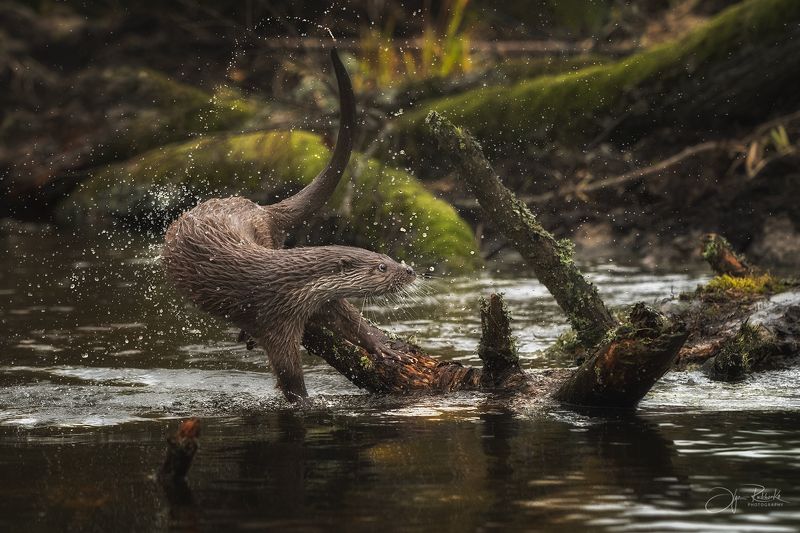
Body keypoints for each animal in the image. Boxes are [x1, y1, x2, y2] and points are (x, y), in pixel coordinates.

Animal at [162, 50, 416, 402]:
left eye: (389, 258)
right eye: (381, 267)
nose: (409, 270)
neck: (289, 285)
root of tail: (260, 209)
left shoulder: (319, 301)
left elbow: (350, 319)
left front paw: (381, 345)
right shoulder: (274, 320)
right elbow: (289, 374)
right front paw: (305, 400)